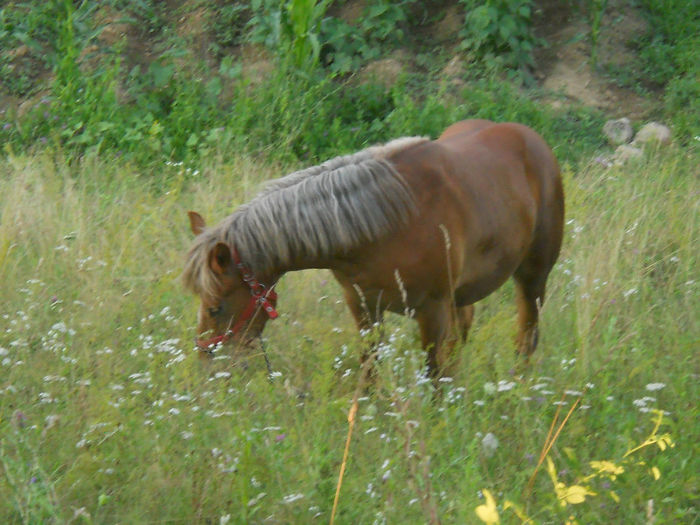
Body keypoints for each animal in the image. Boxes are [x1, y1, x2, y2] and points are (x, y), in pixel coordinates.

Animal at [180, 119, 564, 376]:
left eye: (215, 308)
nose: (206, 365)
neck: (387, 222)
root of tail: (531, 138)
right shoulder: (363, 307)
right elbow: (369, 370)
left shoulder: (433, 310)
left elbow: (432, 372)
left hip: (532, 278)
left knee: (527, 334)